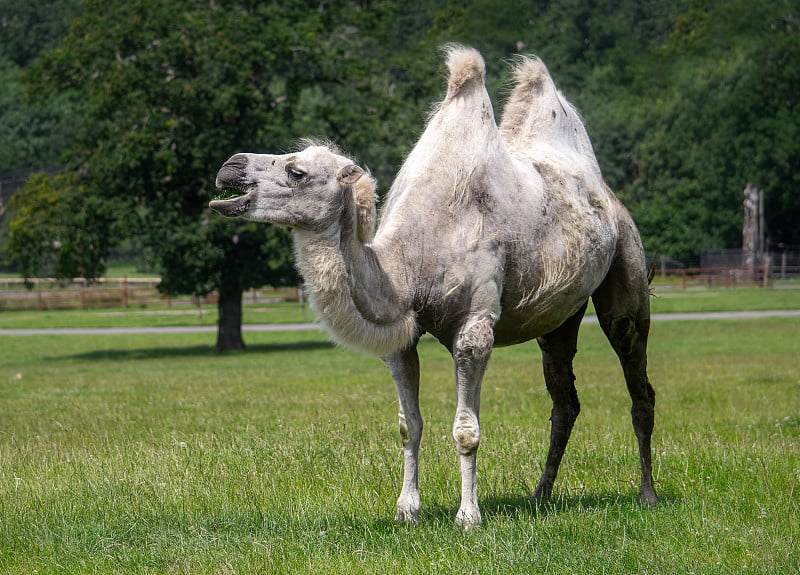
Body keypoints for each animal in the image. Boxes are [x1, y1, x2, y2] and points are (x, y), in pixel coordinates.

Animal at [212, 46, 656, 532]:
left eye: (296, 171)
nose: (229, 167)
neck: (408, 267)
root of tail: (607, 197)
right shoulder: (402, 338)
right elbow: (409, 423)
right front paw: (407, 509)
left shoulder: (476, 329)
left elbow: (466, 429)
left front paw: (468, 516)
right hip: (559, 317)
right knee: (565, 401)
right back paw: (540, 495)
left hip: (627, 274)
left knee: (637, 379)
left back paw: (647, 494)